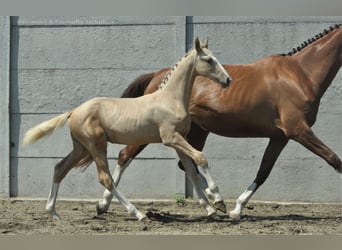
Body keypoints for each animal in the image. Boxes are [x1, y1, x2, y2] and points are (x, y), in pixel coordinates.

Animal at [22, 37, 231, 221]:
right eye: (208, 59)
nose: (228, 80)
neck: (169, 99)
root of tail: (73, 111)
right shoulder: (171, 138)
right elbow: (201, 158)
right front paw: (218, 200)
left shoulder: (179, 140)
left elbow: (191, 171)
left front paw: (210, 210)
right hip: (97, 145)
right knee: (105, 178)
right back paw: (138, 214)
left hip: (81, 147)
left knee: (60, 168)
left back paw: (53, 213)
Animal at [97, 23, 342, 219]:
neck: (300, 74)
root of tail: (157, 76)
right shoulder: (298, 130)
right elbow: (334, 159)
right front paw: (232, 206)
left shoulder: (280, 136)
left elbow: (263, 171)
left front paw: (237, 209)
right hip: (151, 132)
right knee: (125, 156)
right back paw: (104, 204)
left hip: (196, 131)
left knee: (187, 164)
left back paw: (214, 202)